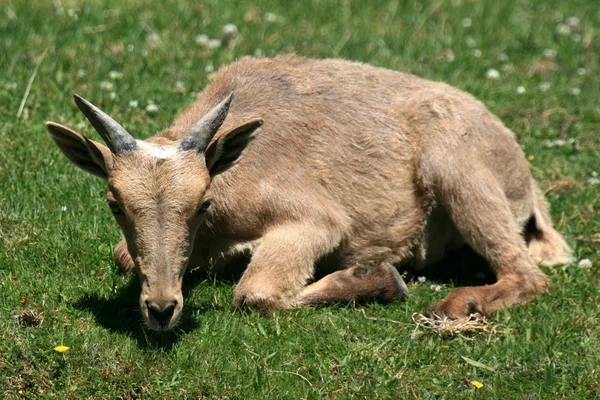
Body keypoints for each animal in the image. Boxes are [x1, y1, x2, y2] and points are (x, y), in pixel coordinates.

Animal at [47, 54, 572, 330]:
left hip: (459, 169)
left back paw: (455, 305)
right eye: (114, 203)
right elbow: (122, 255)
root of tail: (524, 181)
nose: (160, 309)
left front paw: (378, 278)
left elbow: (255, 294)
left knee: (527, 274)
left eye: (202, 202)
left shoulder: (314, 220)